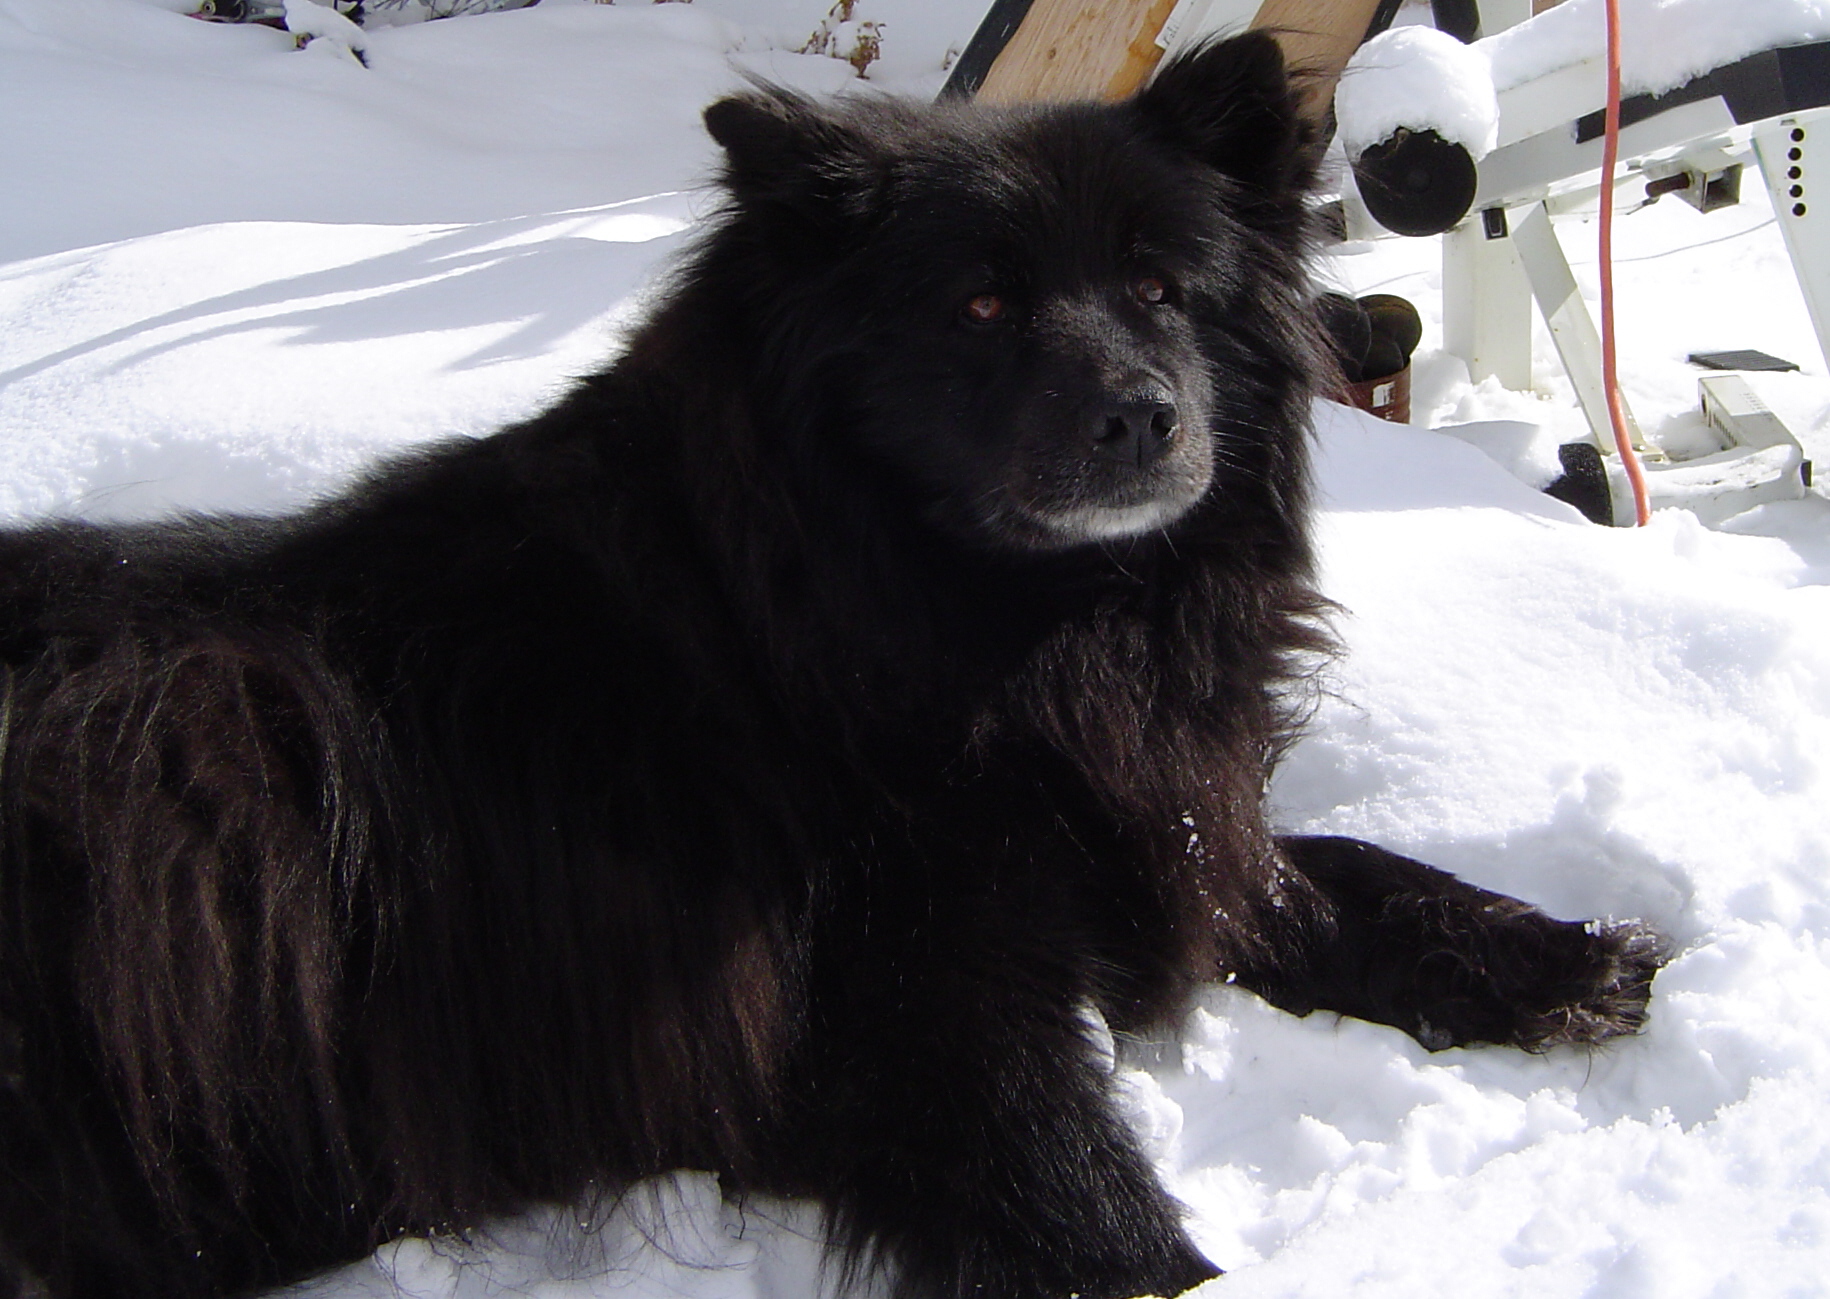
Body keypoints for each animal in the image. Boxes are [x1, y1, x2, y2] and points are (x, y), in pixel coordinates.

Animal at [0, 38, 1661, 1299]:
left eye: (1162, 287)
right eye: (979, 303)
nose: (1142, 416)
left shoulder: (1148, 826)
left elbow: (1342, 871)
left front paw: (1561, 955)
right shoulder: (912, 999)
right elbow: (1085, 1196)